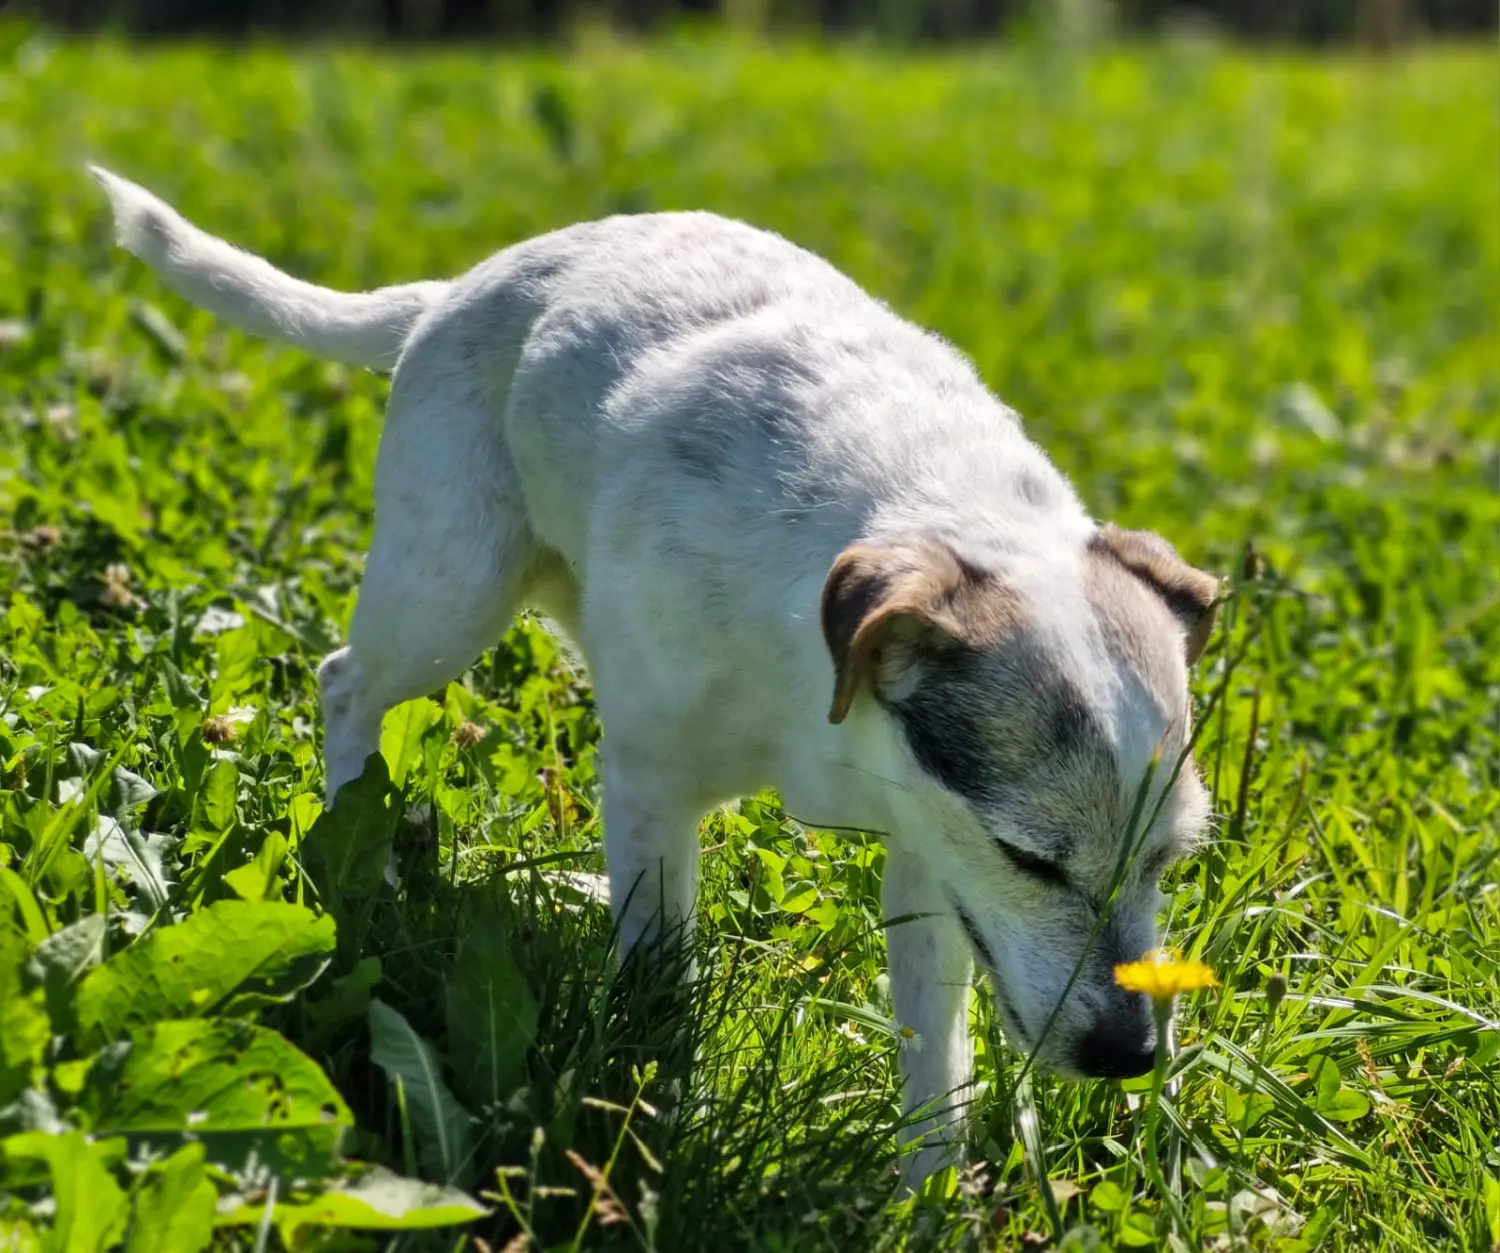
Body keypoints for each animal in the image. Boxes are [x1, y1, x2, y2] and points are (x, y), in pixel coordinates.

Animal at [90, 166, 1218, 1188]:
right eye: (1031, 857)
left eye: (1168, 857)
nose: (1130, 1055)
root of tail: (453, 290)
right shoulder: (654, 790)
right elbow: (661, 980)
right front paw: (659, 1118)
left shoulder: (928, 848)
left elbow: (932, 1052)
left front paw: (926, 1194)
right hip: (449, 588)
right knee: (346, 681)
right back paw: (354, 846)